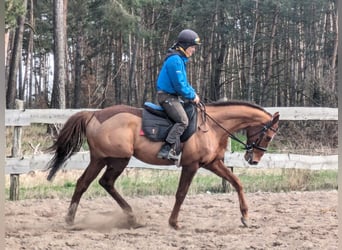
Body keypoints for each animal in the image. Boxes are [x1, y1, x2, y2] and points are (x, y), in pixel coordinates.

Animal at [45, 100, 280, 229]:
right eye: (269, 136)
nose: (253, 160)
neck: (212, 126)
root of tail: (94, 114)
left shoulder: (212, 163)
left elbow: (237, 183)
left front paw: (245, 217)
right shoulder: (191, 165)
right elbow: (181, 194)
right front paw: (174, 222)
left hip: (108, 160)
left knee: (95, 183)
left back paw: (127, 217)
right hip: (112, 159)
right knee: (94, 183)